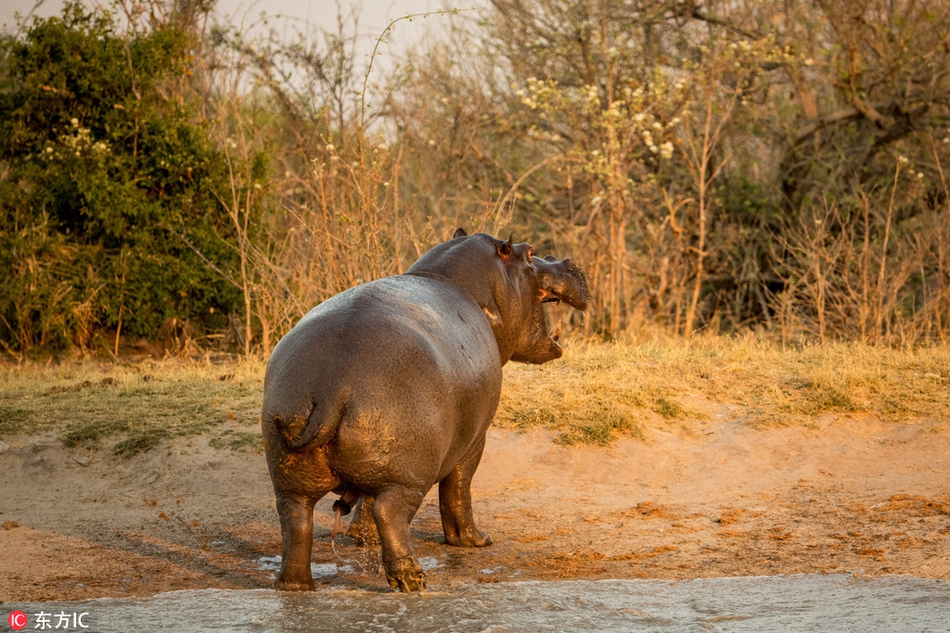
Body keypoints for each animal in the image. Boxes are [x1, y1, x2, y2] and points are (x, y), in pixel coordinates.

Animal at [260, 228, 588, 592]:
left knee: (297, 519)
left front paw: (361, 538)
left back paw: (295, 586)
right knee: (390, 511)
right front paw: (477, 541)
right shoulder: (474, 439)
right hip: (409, 475)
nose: (566, 260)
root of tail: (332, 384)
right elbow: (458, 489)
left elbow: (365, 504)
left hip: (298, 473)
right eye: (530, 253)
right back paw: (412, 580)